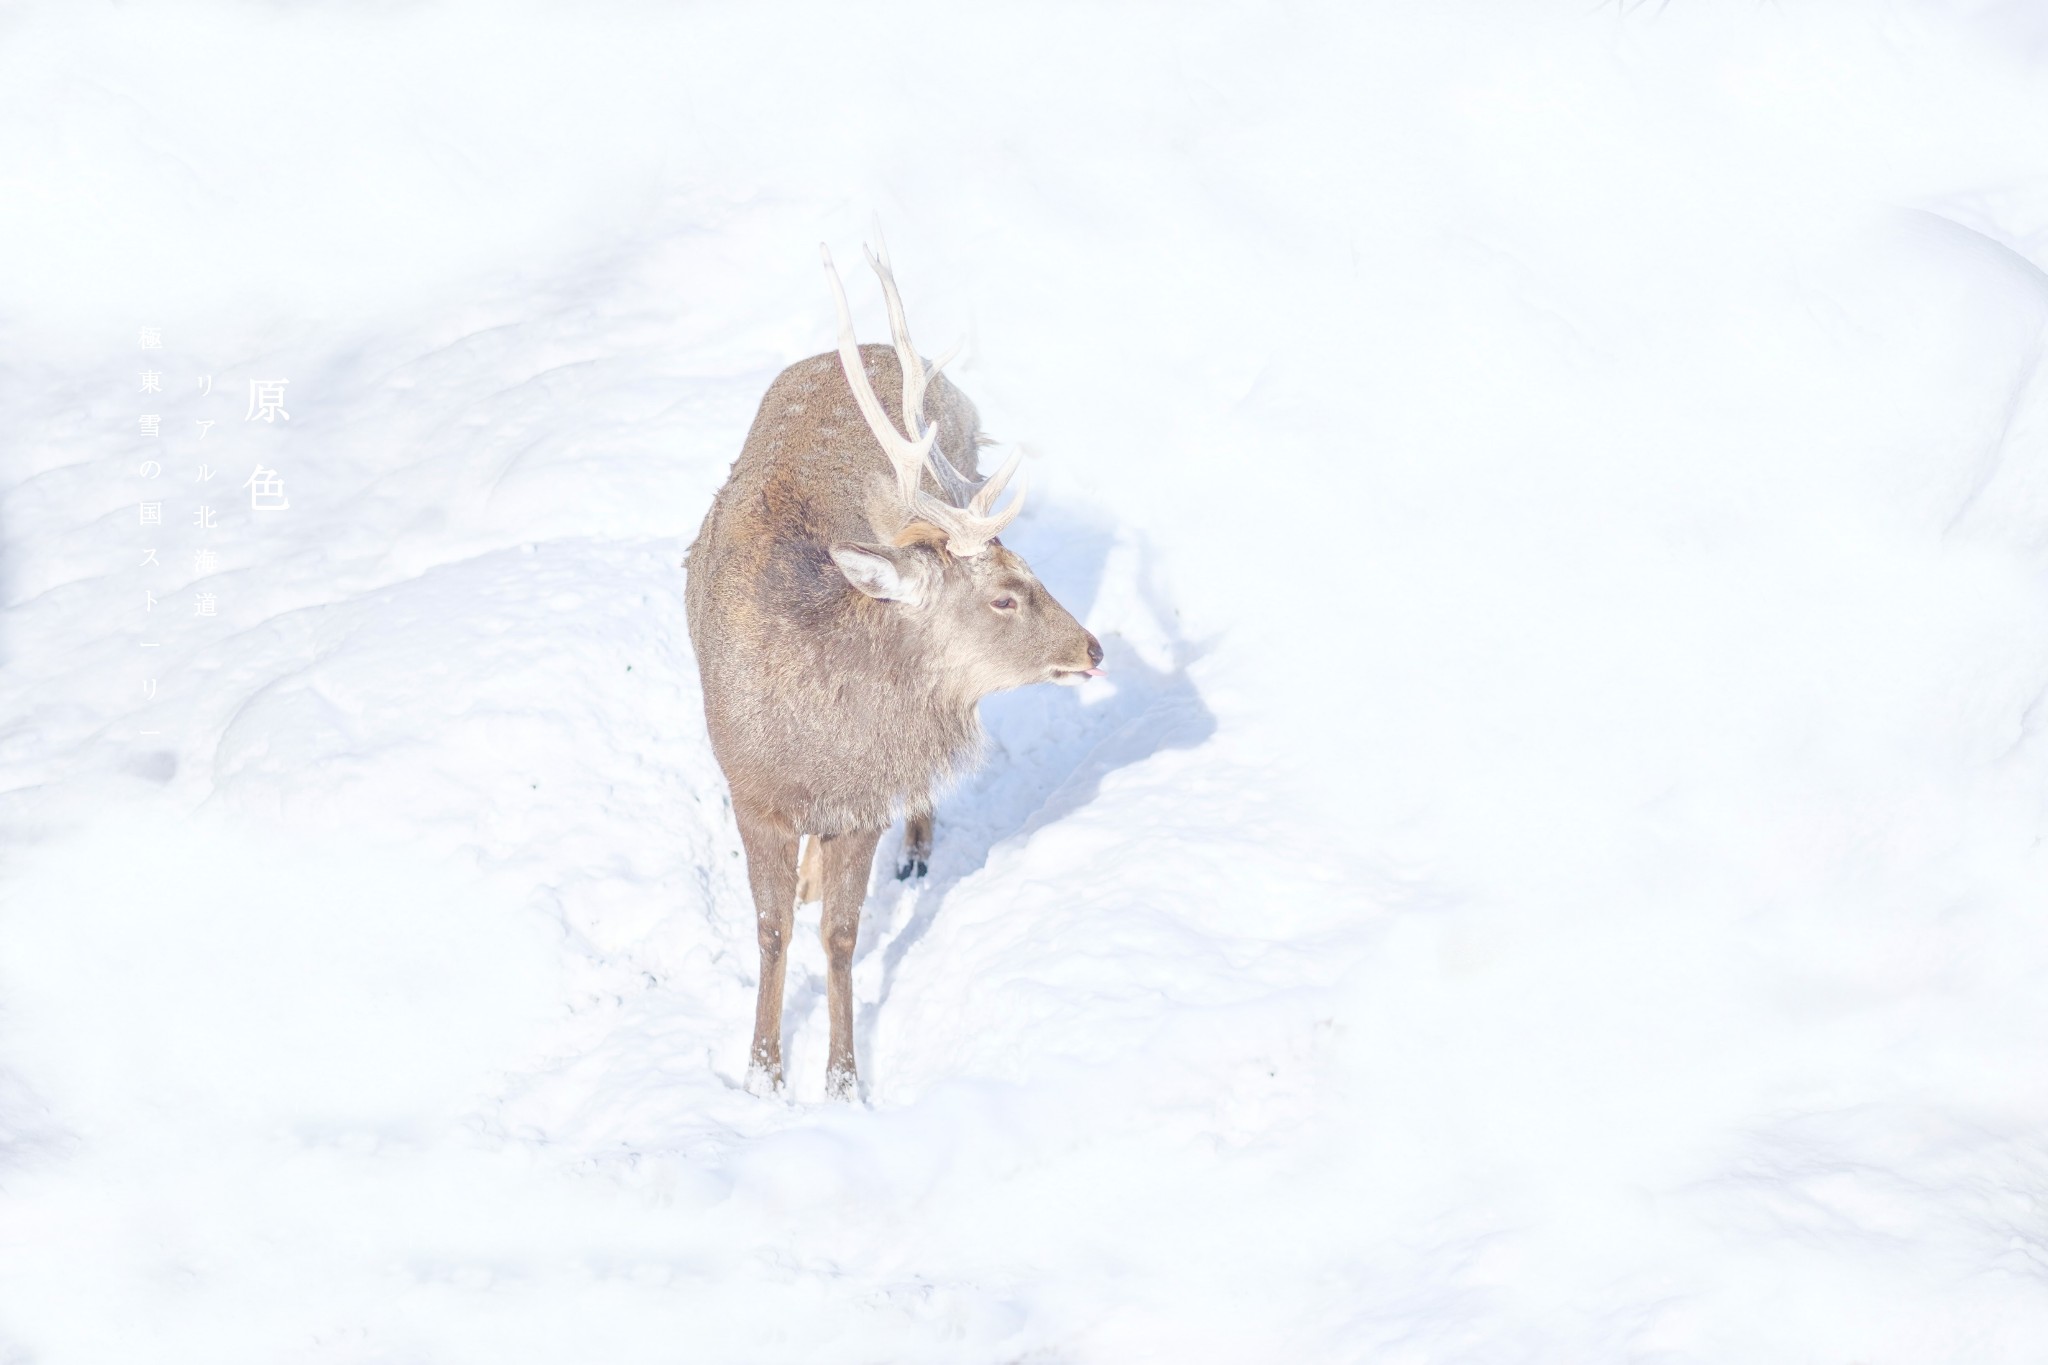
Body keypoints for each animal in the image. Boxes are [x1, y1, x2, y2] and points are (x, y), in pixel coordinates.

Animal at [684, 240, 1105, 1105]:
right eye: (1006, 595)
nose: (1091, 648)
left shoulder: (862, 804)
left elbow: (840, 936)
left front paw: (843, 1080)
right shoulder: (749, 790)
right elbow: (772, 931)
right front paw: (762, 1071)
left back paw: (915, 848)